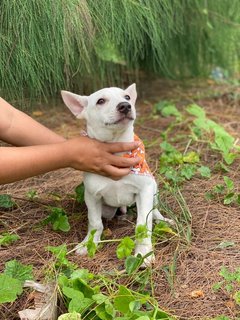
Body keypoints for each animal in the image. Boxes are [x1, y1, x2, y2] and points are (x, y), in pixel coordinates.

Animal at [61, 83, 171, 264]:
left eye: (127, 97)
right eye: (100, 101)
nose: (125, 106)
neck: (117, 153)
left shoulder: (145, 190)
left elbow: (143, 223)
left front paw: (144, 251)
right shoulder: (91, 196)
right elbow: (95, 223)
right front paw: (88, 243)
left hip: (153, 189)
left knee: (154, 210)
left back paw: (163, 220)